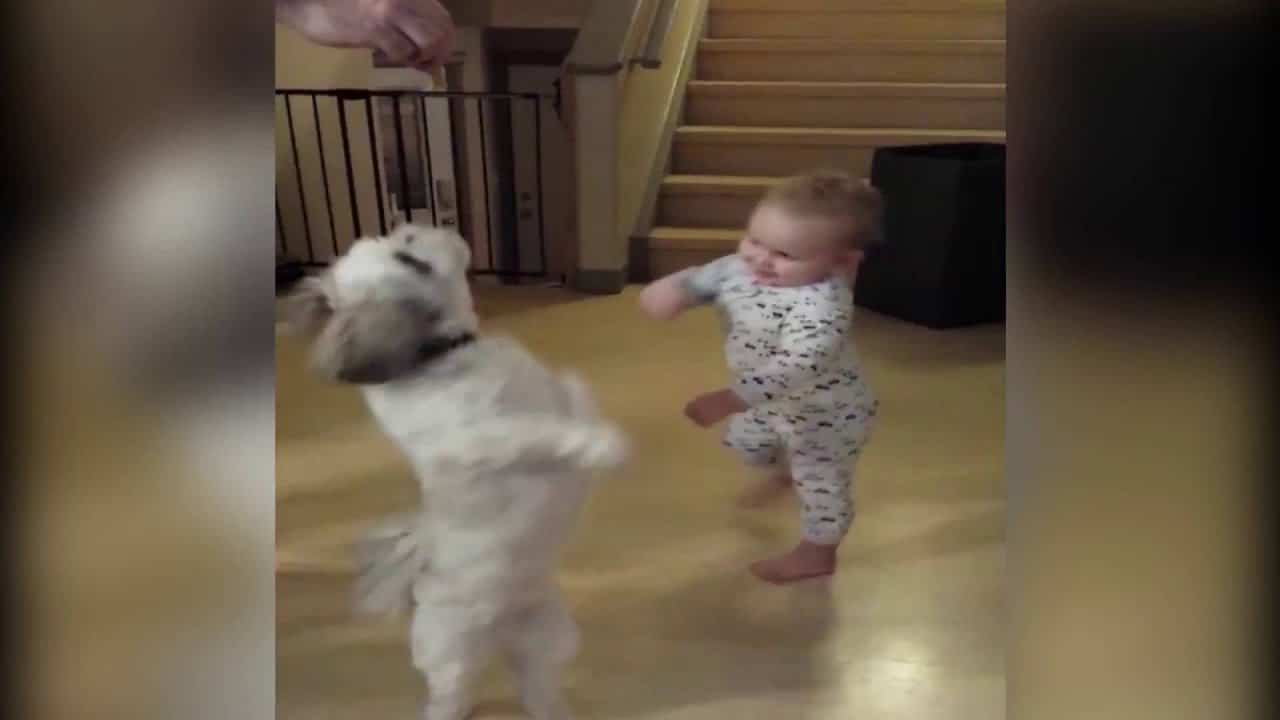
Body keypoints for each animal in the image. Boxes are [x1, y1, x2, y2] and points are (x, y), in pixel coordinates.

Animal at [288, 224, 632, 717]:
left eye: (401, 238)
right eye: (409, 260)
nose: (413, 225)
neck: (446, 354)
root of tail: (501, 631)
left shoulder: (555, 395)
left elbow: (572, 393)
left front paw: (594, 426)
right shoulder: (485, 436)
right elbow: (541, 430)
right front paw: (601, 446)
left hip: (550, 636)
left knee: (537, 684)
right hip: (450, 650)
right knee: (452, 694)